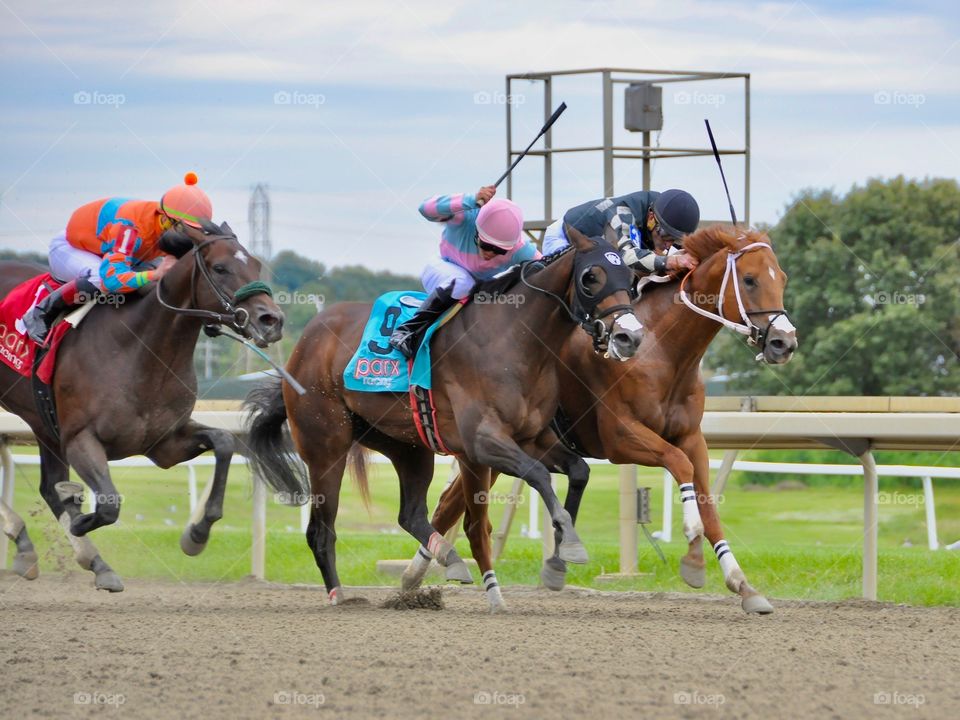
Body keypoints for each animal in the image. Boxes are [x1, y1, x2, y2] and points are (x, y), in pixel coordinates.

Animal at [0, 222, 284, 591]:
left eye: (256, 266)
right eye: (220, 268)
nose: (271, 320)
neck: (141, 350)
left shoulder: (163, 444)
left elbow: (223, 443)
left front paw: (196, 534)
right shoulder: (80, 438)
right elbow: (108, 505)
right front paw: (79, 517)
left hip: (42, 424)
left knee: (49, 486)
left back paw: (57, 553)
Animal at [245, 227, 645, 605]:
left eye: (629, 275)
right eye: (590, 277)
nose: (629, 337)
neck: (513, 340)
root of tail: (302, 346)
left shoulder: (531, 438)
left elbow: (578, 471)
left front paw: (558, 562)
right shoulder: (483, 441)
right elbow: (538, 476)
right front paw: (569, 545)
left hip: (407, 445)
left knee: (409, 514)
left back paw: (447, 558)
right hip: (326, 445)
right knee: (320, 530)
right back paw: (339, 596)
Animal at [403, 225, 798, 612]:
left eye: (782, 278)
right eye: (749, 280)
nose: (784, 343)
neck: (662, 350)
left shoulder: (691, 437)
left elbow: (707, 503)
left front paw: (742, 585)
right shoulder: (621, 438)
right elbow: (678, 464)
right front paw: (692, 549)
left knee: (450, 505)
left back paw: (415, 576)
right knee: (451, 505)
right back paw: (420, 574)